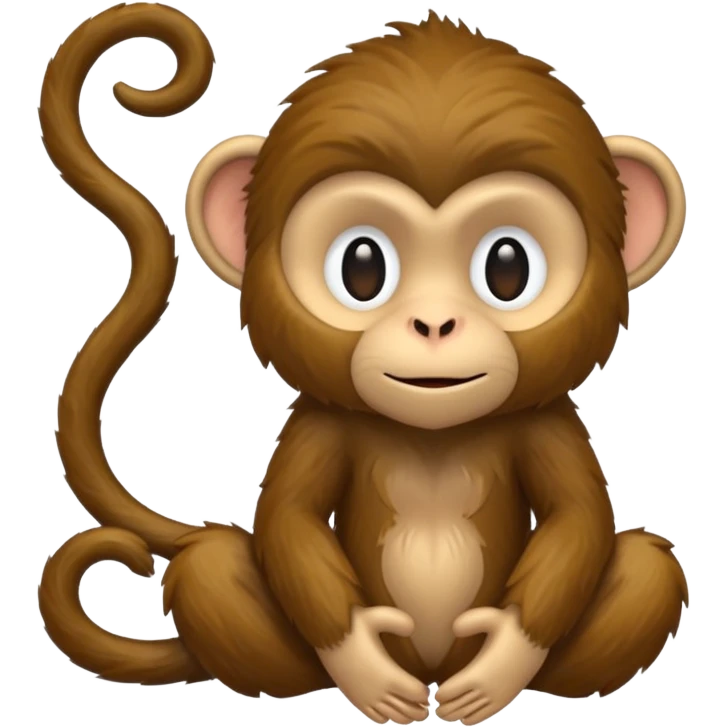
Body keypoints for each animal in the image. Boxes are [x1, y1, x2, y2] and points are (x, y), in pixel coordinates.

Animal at [38, 4, 689, 726]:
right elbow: (289, 521)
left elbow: (579, 520)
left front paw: (501, 664)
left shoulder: (548, 420)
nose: (433, 323)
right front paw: (362, 666)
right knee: (210, 567)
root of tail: (432, 672)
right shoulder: (319, 422)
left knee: (647, 568)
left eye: (508, 267)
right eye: (362, 266)